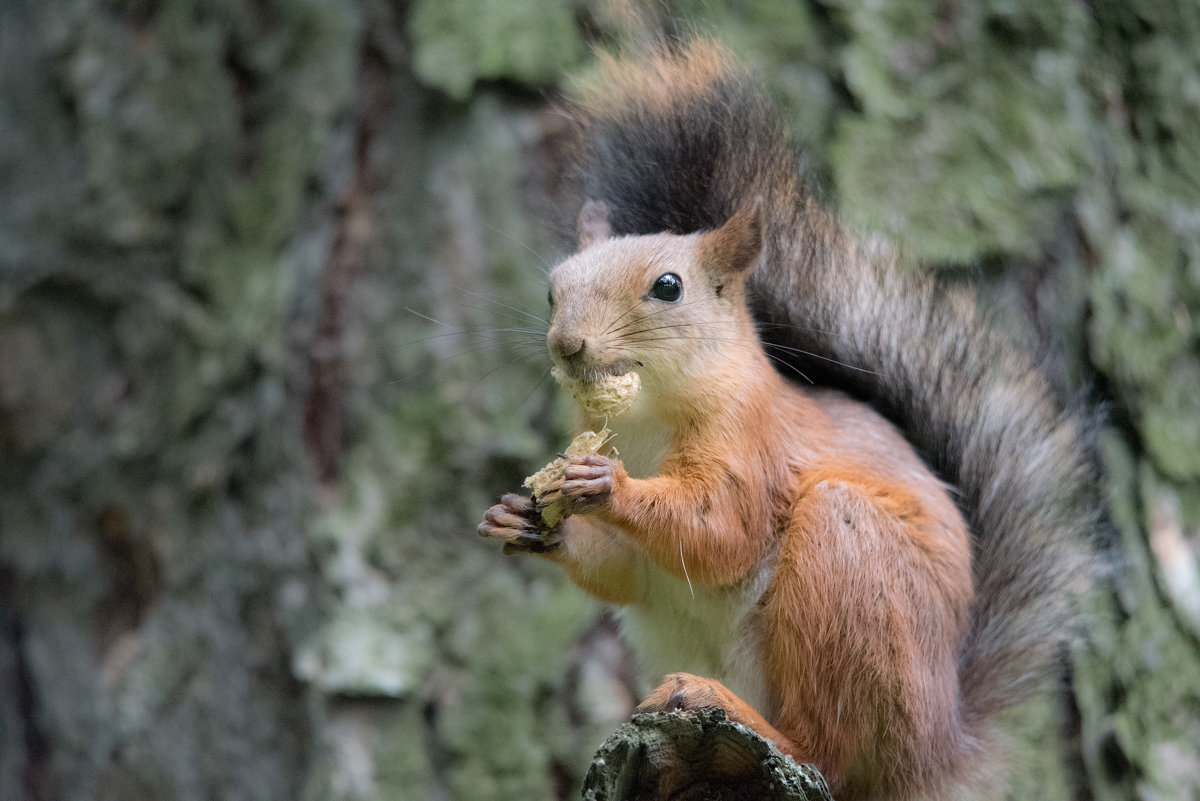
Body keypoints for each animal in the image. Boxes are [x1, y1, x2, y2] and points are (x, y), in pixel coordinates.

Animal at [472, 38, 1099, 801]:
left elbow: (721, 531)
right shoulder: (635, 556)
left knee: (822, 748)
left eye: (668, 287)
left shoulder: (754, 446)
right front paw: (526, 520)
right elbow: (621, 570)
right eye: (553, 287)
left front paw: (607, 486)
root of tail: (935, 751)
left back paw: (726, 707)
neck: (648, 421)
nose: (567, 344)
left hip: (845, 565)